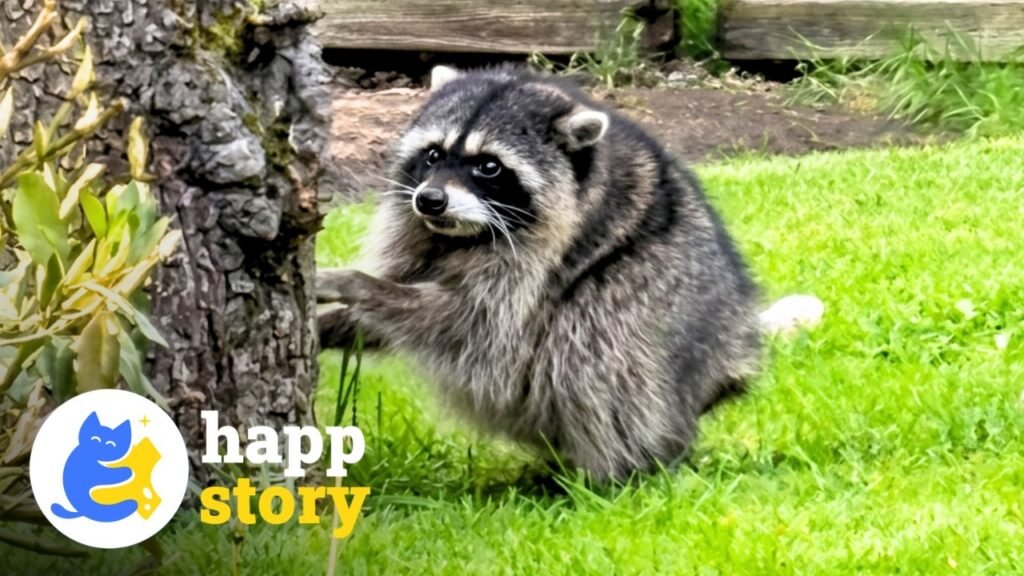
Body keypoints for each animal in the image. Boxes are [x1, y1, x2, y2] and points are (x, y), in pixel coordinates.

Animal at [319, 65, 799, 480]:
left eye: (488, 166)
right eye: (433, 155)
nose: (430, 200)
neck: (460, 236)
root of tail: (726, 369)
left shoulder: (538, 261)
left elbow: (472, 324)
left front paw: (360, 285)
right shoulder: (417, 232)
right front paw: (334, 321)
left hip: (654, 304)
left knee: (592, 342)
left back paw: (614, 471)